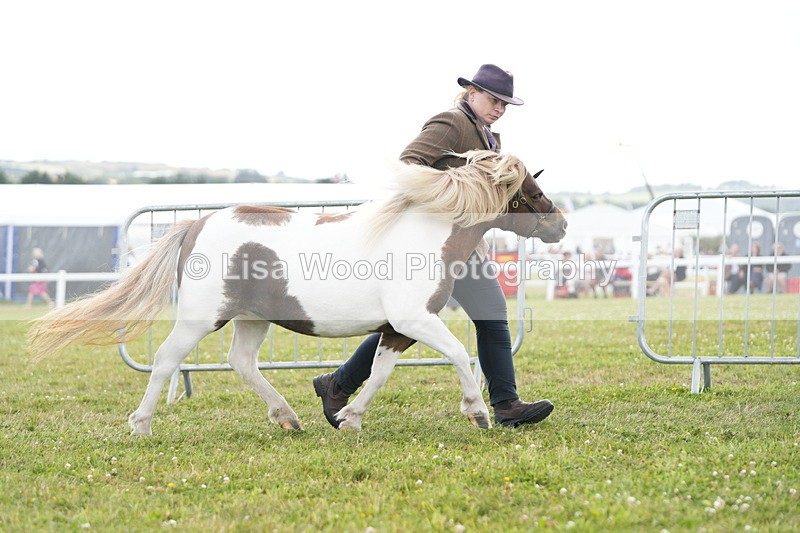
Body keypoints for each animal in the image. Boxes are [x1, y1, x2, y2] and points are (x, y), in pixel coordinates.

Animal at [28, 150, 567, 435]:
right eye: (532, 190)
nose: (560, 225)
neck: (424, 234)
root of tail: (196, 224)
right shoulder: (415, 319)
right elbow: (457, 352)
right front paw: (478, 413)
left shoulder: (398, 329)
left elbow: (379, 371)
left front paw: (348, 417)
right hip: (202, 317)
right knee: (165, 360)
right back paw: (141, 424)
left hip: (252, 319)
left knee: (241, 362)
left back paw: (287, 417)